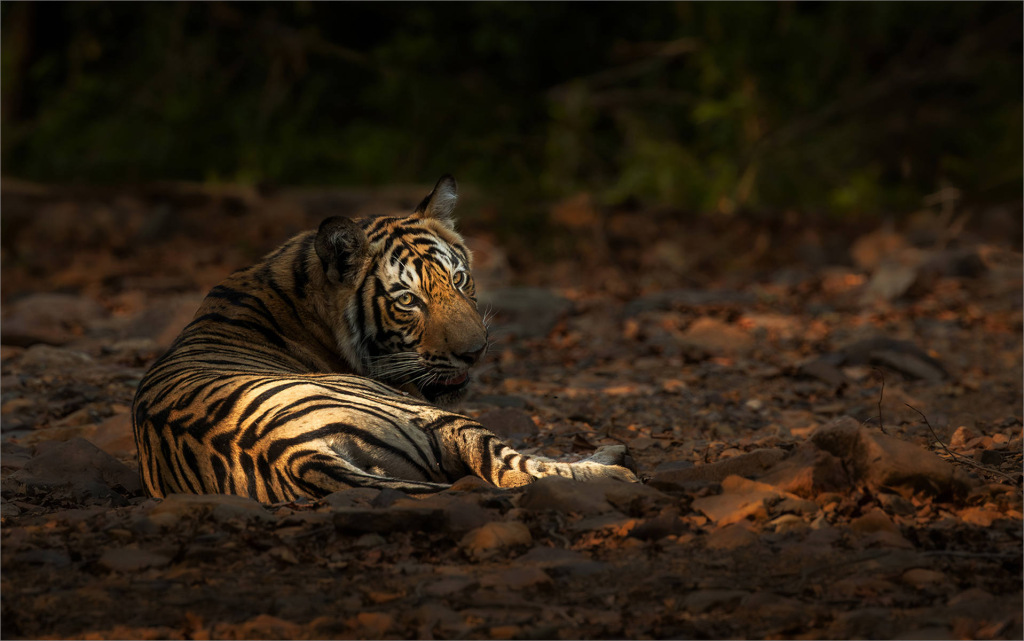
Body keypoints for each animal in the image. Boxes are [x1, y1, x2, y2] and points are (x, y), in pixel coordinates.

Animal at [132, 175, 638, 502]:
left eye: (459, 279)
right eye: (408, 301)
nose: (475, 353)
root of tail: (296, 454)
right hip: (438, 419)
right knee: (513, 468)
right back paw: (615, 466)